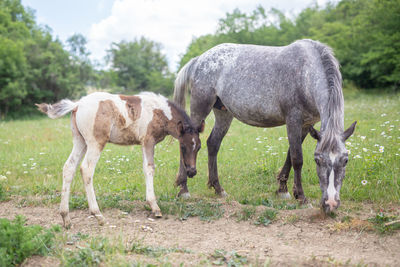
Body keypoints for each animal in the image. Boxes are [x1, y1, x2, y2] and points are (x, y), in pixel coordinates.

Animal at [36, 92, 203, 228]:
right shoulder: (148, 141)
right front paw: (154, 207)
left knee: (69, 167)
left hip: (80, 140)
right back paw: (98, 215)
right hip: (96, 142)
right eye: (183, 147)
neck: (160, 111)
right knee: (87, 169)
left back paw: (66, 218)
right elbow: (149, 168)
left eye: (199, 147)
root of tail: (77, 104)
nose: (192, 171)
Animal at [173, 39, 354, 214]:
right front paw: (302, 198)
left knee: (213, 144)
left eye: (345, 160)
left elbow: (289, 155)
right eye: (317, 160)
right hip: (200, 109)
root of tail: (198, 60)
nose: (330, 203)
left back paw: (218, 189)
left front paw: (283, 190)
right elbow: (297, 158)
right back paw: (184, 190)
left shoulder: (307, 124)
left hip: (223, 113)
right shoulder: (293, 120)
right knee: (187, 143)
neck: (306, 72)